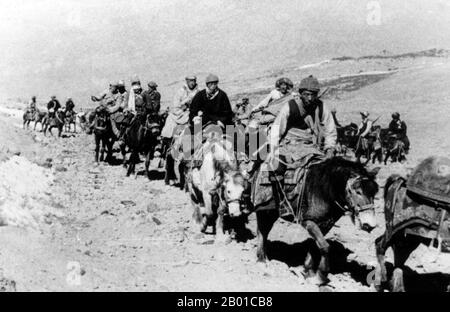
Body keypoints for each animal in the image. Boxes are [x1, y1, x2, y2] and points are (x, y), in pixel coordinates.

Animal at [255, 157, 378, 286]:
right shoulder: (308, 221)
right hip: (264, 211)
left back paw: (265, 257)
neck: (325, 191)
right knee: (262, 231)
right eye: (358, 191)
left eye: (374, 192)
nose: (370, 225)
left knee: (264, 231)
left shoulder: (324, 225)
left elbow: (315, 246)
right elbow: (325, 246)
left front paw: (308, 272)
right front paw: (320, 276)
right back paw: (261, 261)